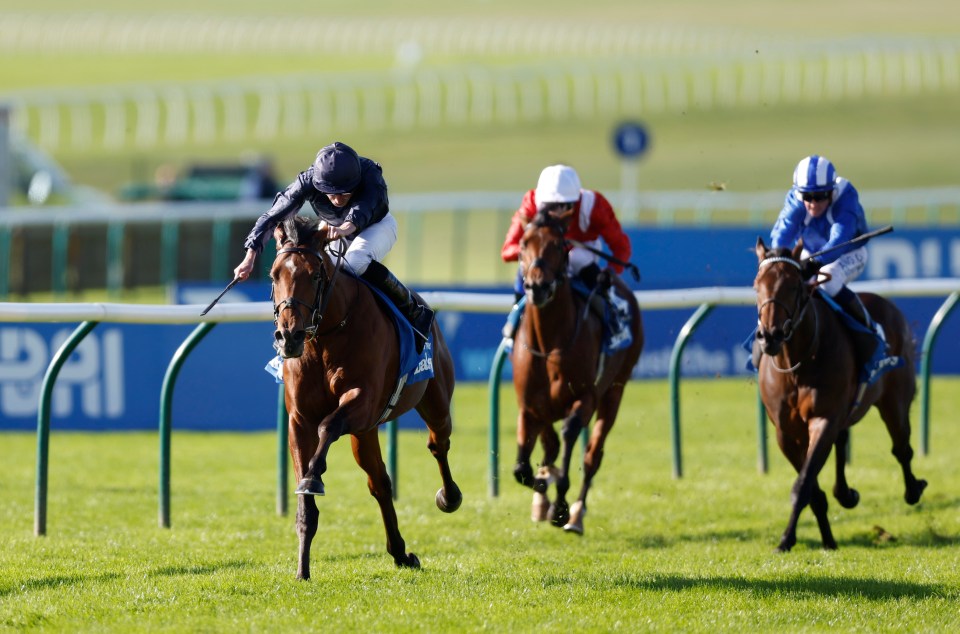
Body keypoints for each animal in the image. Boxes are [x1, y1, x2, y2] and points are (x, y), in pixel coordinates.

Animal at [270, 215, 464, 576]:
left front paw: (315, 475)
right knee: (380, 482)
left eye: (314, 274)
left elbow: (328, 426)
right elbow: (306, 501)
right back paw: (400, 552)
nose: (289, 336)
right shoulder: (300, 420)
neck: (326, 337)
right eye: (275, 274)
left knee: (438, 443)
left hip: (434, 400)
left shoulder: (362, 401)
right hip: (366, 433)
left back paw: (449, 497)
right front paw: (302, 568)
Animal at [510, 207, 644, 532]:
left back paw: (576, 515)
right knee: (551, 446)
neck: (548, 344)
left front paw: (559, 506)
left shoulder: (585, 397)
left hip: (615, 390)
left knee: (593, 454)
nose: (537, 286)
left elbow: (570, 434)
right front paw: (544, 491)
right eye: (523, 244)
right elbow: (522, 468)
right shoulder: (529, 406)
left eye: (559, 245)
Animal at [752, 237, 928, 548]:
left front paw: (786, 538)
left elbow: (804, 484)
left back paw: (913, 489)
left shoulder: (823, 419)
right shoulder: (786, 433)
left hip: (894, 401)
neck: (797, 365)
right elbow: (812, 488)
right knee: (843, 441)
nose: (770, 335)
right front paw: (823, 539)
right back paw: (845, 494)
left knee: (901, 448)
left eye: (793, 286)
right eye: (756, 285)